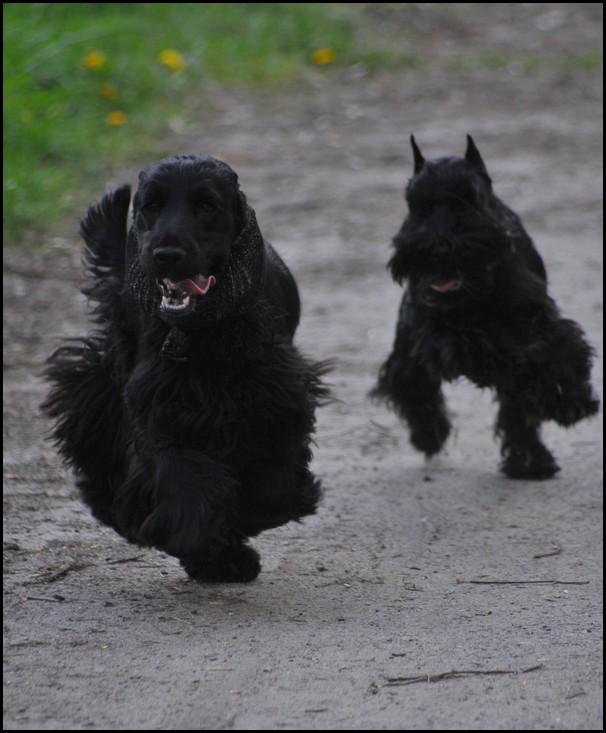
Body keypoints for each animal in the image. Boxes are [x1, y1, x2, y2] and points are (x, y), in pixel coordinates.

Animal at [44, 157, 328, 580]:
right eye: (151, 205)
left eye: (207, 206)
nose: (166, 253)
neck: (205, 332)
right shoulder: (162, 404)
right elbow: (184, 475)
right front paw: (198, 540)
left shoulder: (275, 397)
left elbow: (273, 479)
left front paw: (248, 521)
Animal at [376, 136, 604, 480]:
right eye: (416, 205)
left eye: (468, 198)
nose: (438, 248)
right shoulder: (434, 337)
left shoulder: (541, 322)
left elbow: (557, 354)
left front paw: (569, 401)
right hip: (409, 342)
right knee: (411, 383)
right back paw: (430, 435)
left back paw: (531, 462)